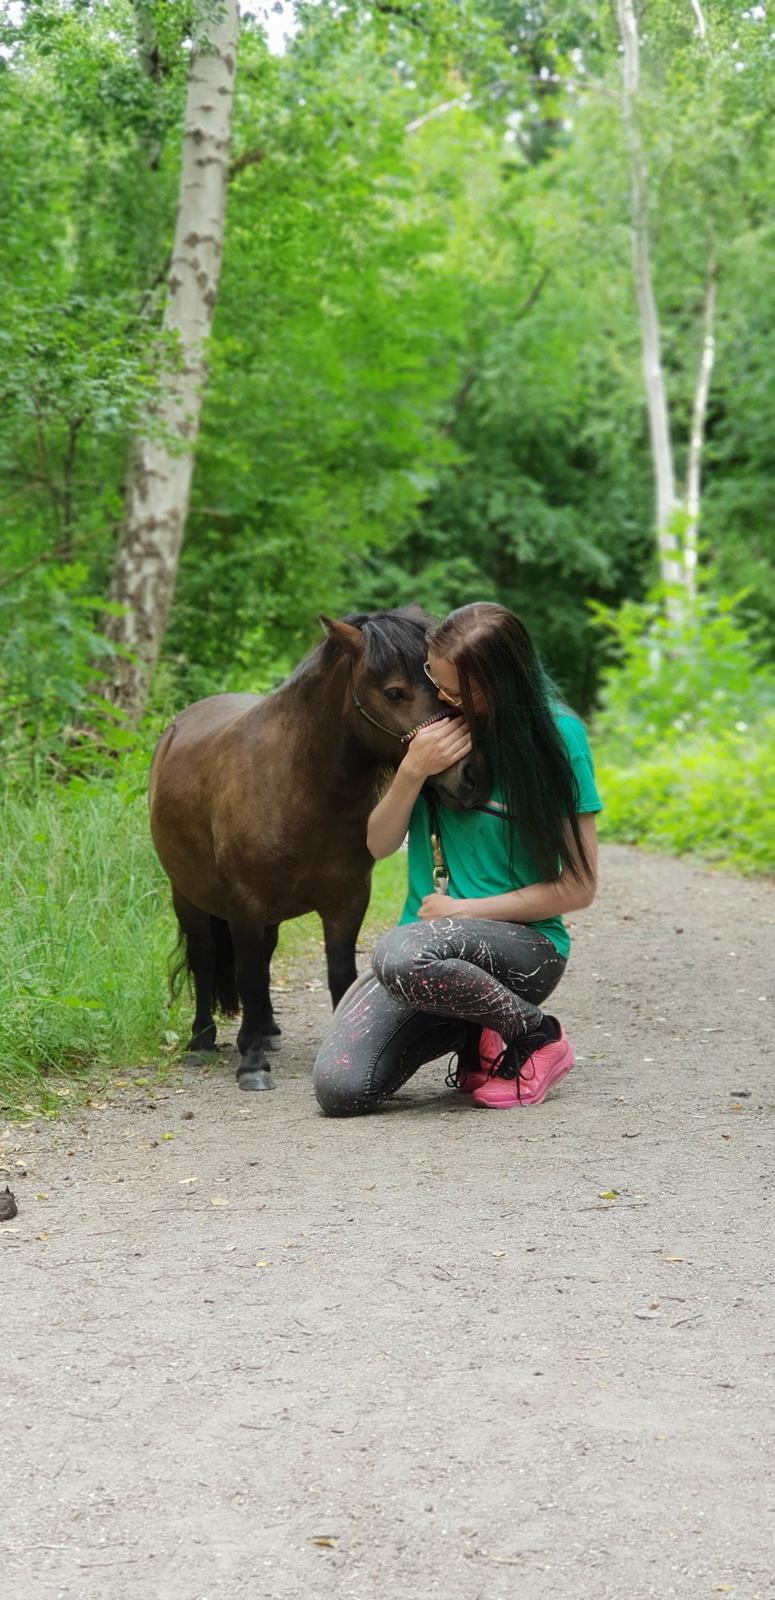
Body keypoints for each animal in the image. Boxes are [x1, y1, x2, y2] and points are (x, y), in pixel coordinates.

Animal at [148, 604, 486, 1094]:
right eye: (395, 692)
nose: (470, 775)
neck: (299, 787)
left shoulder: (347, 901)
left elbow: (337, 974)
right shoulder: (244, 904)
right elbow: (246, 974)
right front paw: (251, 1063)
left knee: (265, 956)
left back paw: (267, 1031)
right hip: (189, 897)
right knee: (206, 958)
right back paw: (202, 1041)